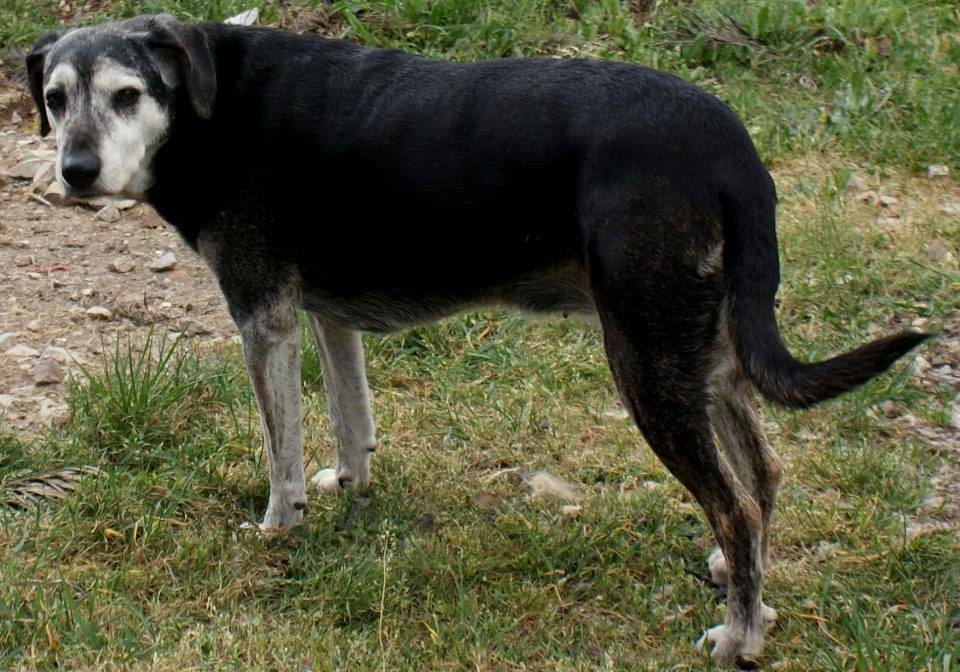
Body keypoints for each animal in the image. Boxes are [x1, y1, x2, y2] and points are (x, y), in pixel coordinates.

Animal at [26, 14, 927, 667]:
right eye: (58, 97)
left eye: (128, 94)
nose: (75, 172)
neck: (211, 104)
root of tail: (728, 144)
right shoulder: (324, 314)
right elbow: (351, 420)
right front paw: (351, 490)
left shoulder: (262, 316)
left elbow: (280, 452)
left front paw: (278, 531)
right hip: (702, 347)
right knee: (762, 473)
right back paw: (746, 589)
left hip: (646, 358)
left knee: (735, 503)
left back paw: (741, 635)